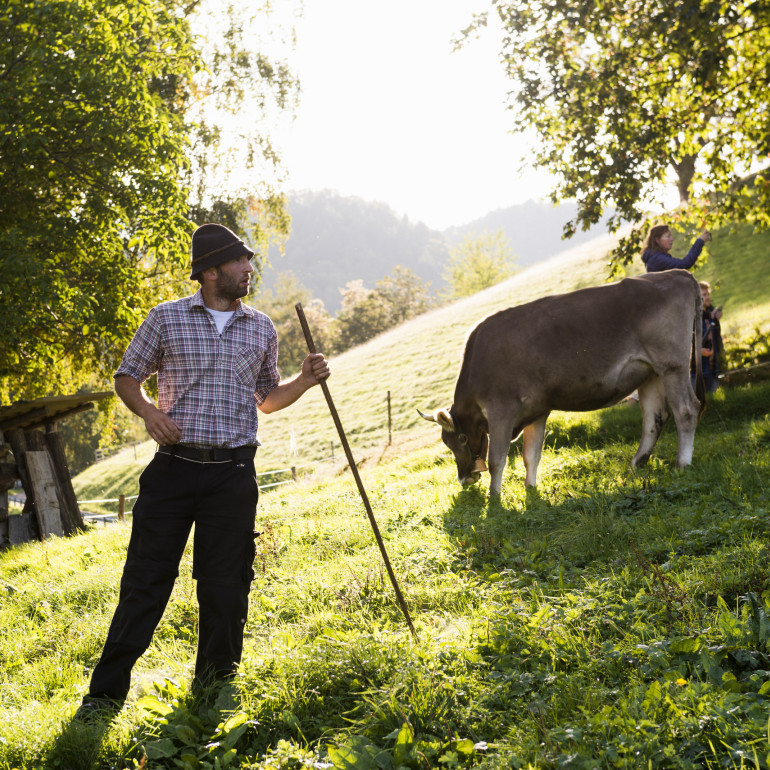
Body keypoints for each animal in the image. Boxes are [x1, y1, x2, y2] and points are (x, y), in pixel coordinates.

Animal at [420, 270, 704, 496]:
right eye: (446, 443)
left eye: (461, 439)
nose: (464, 478)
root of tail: (676, 273)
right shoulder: (537, 410)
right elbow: (531, 454)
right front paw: (530, 489)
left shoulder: (501, 410)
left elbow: (497, 459)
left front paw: (494, 499)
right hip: (649, 373)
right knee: (655, 418)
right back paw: (637, 463)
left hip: (672, 366)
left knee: (686, 410)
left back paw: (682, 464)